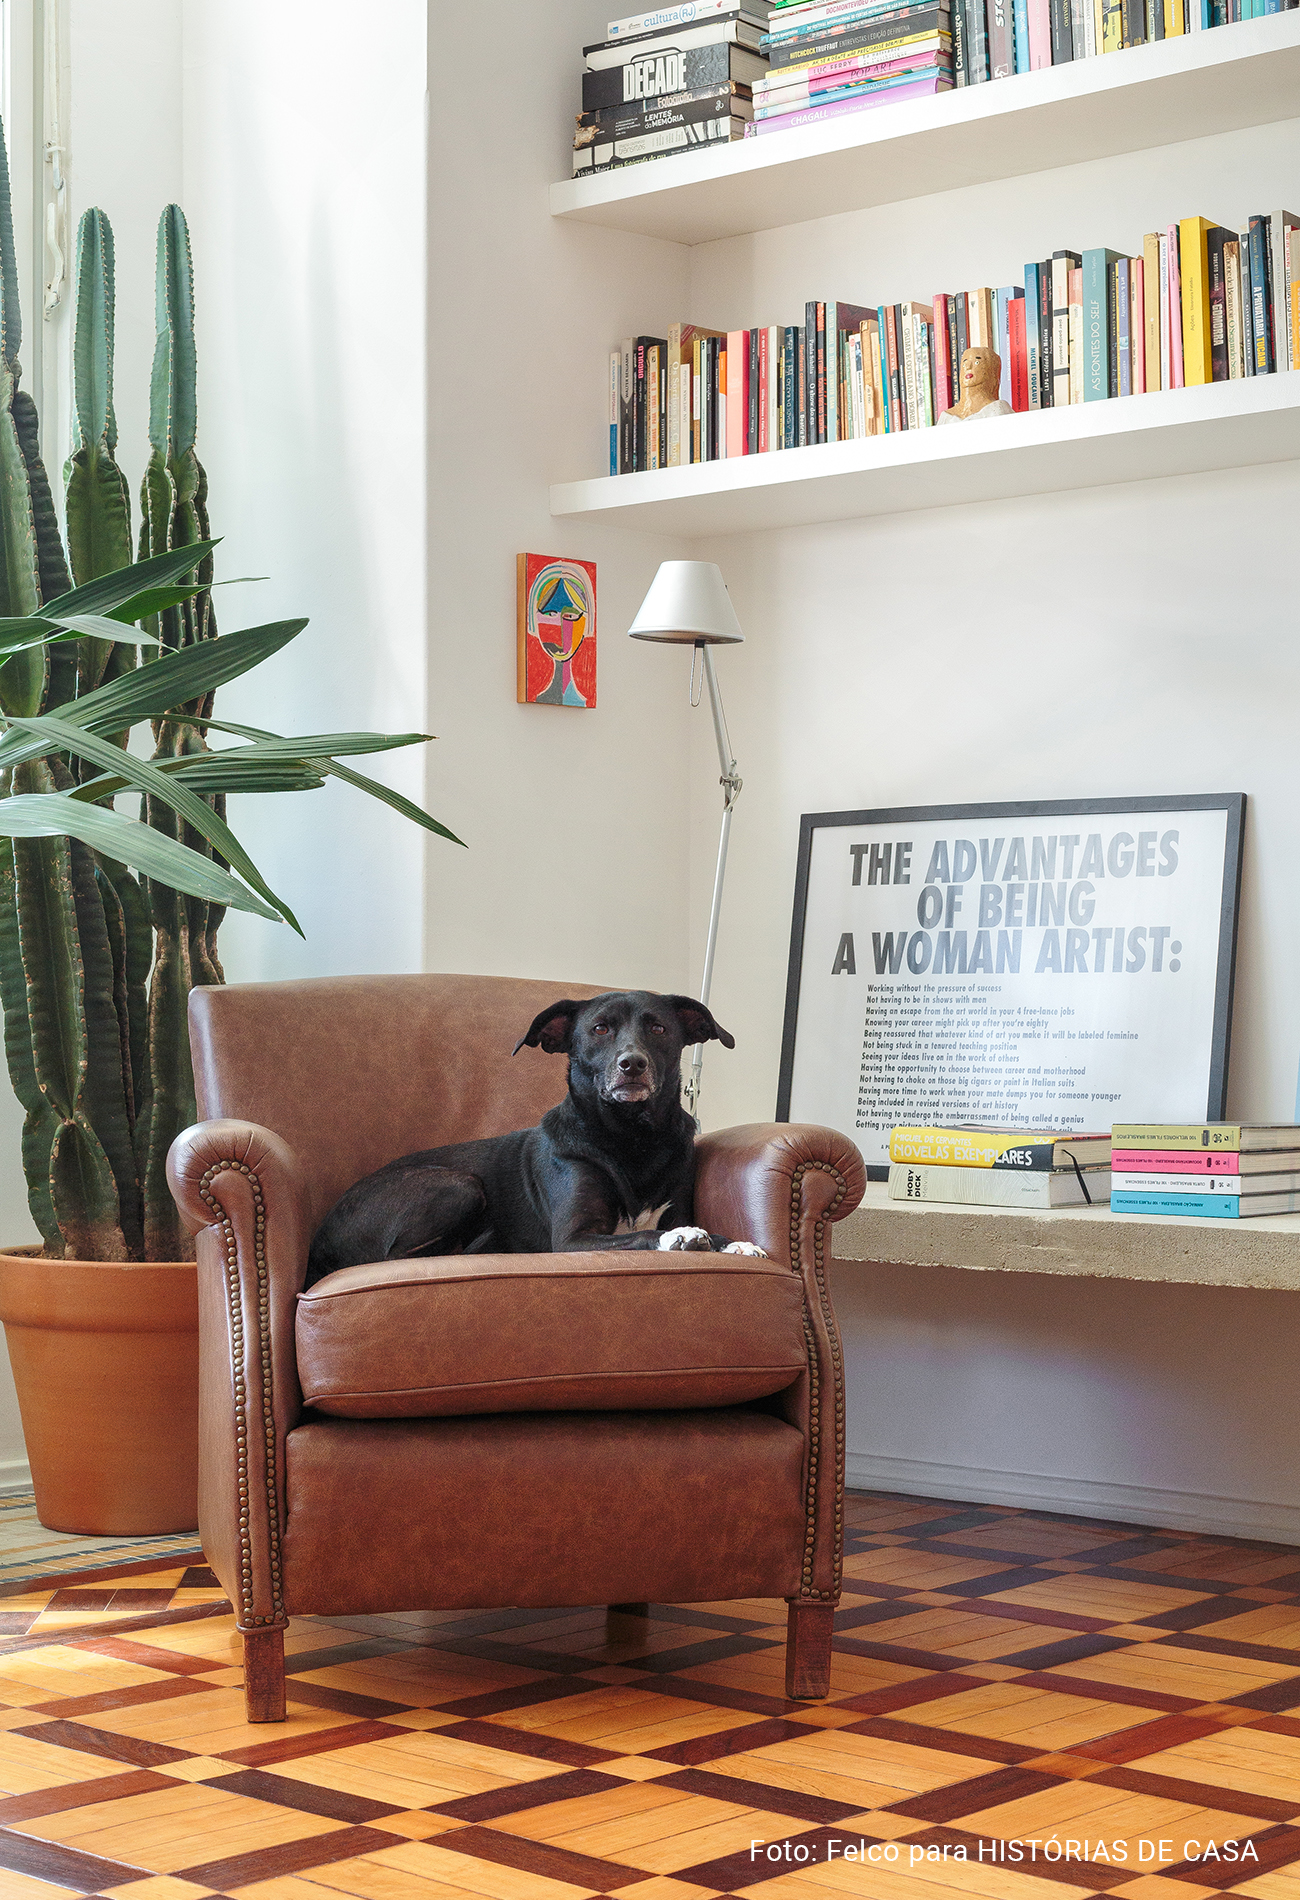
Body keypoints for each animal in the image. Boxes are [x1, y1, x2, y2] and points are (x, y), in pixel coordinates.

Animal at [305, 988, 767, 1284]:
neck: (630, 1138)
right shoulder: (574, 1238)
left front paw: (736, 1244)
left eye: (658, 1029)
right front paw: (682, 1238)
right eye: (600, 1029)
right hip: (459, 1184)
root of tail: (319, 1244)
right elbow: (643, 1234)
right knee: (395, 1257)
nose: (632, 1064)